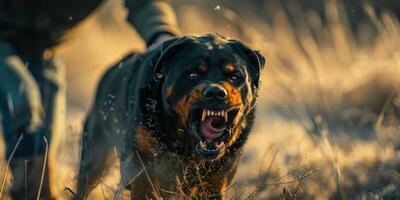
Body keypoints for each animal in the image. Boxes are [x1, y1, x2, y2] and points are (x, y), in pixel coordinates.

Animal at [77, 33, 266, 199]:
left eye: (235, 76)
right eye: (193, 74)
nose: (215, 92)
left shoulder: (216, 181)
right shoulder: (139, 157)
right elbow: (144, 185)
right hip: (94, 158)